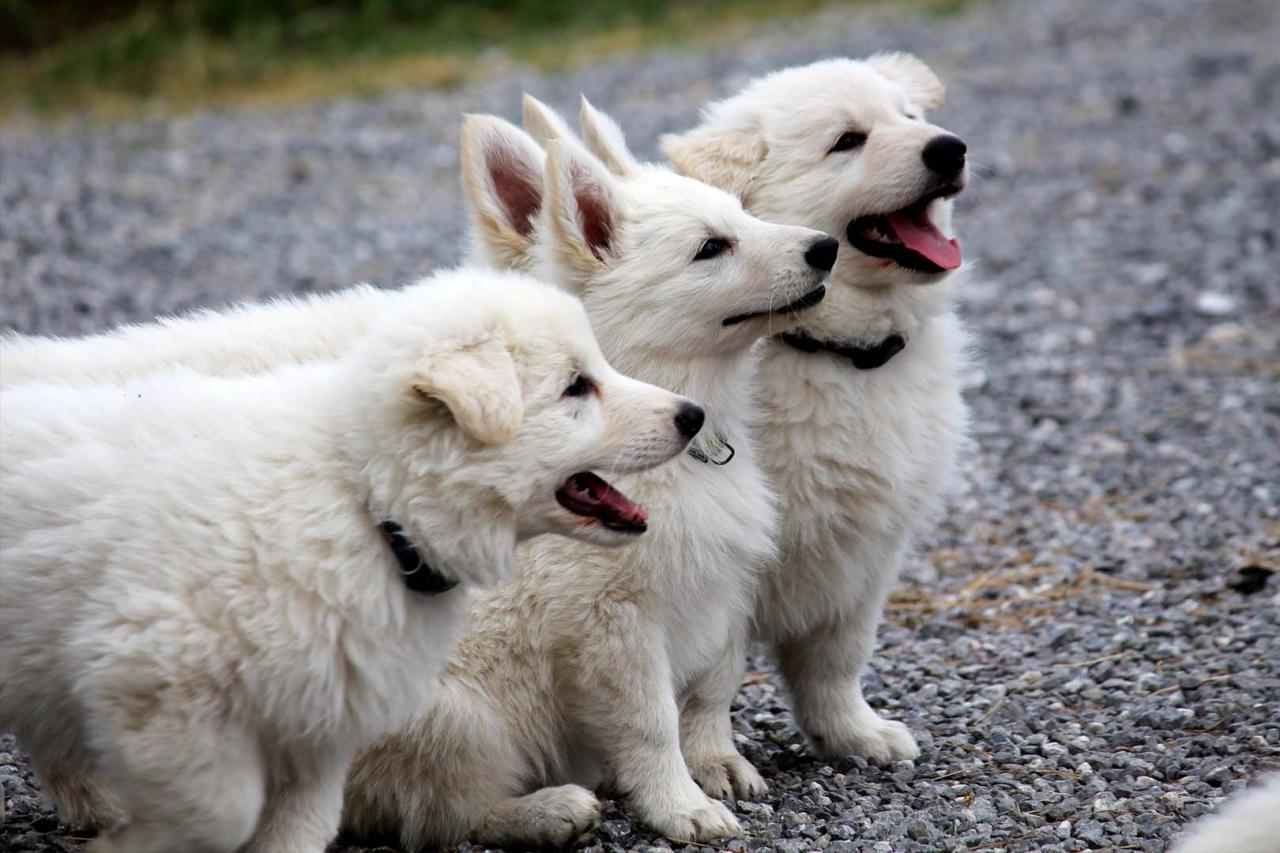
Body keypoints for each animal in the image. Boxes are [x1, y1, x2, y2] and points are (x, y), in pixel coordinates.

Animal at [0, 270, 701, 850]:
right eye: (575, 386)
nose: (692, 415)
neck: (366, 496)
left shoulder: (318, 725)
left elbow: (296, 832)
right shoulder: (159, 681)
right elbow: (220, 809)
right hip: (456, 718)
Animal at [655, 51, 972, 783]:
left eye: (909, 117)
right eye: (847, 141)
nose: (951, 147)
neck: (837, 352)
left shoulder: (867, 550)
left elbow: (839, 656)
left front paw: (853, 734)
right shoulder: (726, 561)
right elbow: (711, 675)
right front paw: (713, 763)